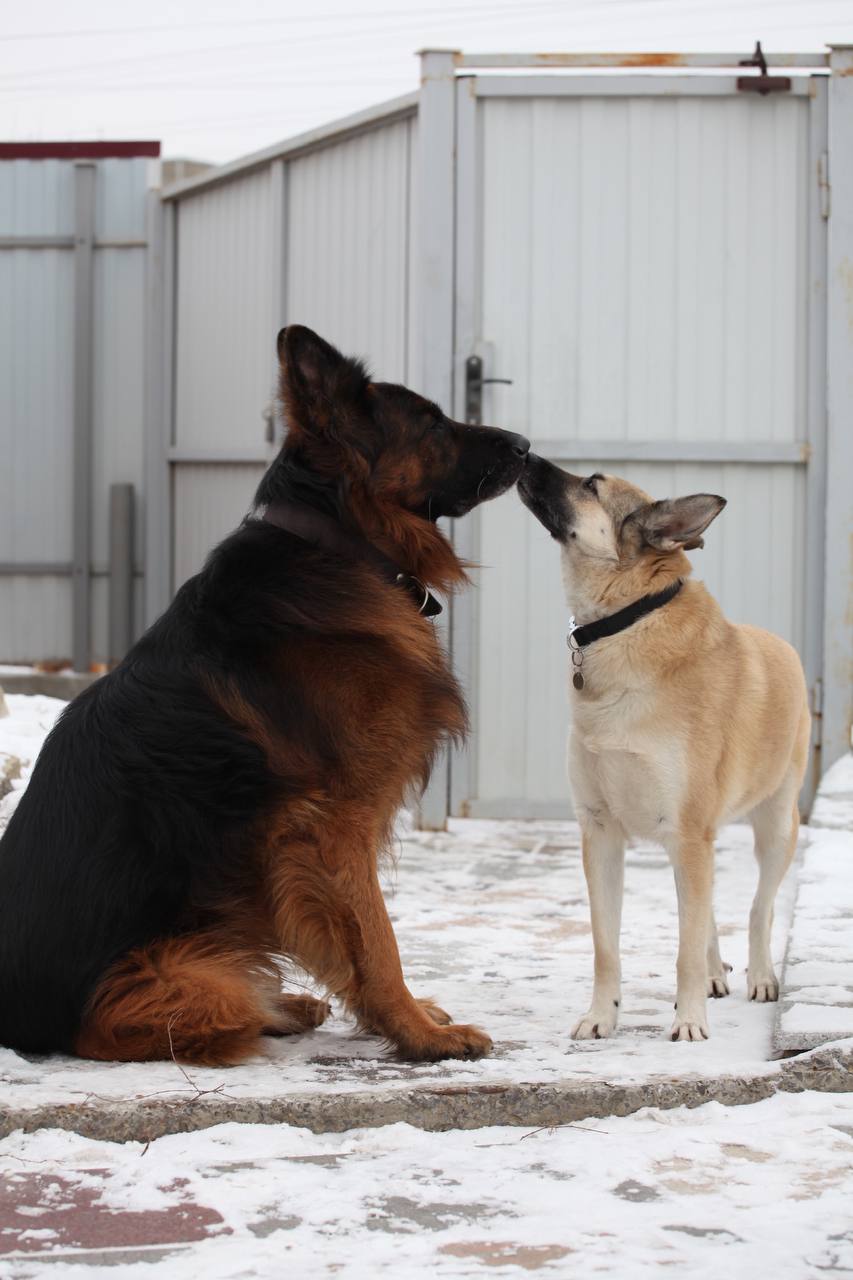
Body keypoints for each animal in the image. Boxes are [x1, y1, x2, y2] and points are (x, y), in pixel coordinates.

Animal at [0, 325, 527, 1064]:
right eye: (429, 421)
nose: (525, 446)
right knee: (153, 1022)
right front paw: (417, 1032)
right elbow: (377, 937)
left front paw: (401, 1018)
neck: (338, 543)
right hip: (176, 975)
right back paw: (268, 1010)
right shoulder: (336, 825)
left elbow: (358, 941)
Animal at [514, 458, 809, 1039]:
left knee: (758, 907)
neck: (627, 620)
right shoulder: (602, 832)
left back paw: (761, 975)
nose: (524, 453)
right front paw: (601, 1017)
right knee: (708, 910)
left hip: (775, 828)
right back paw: (717, 973)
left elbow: (685, 949)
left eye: (592, 485)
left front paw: (689, 1021)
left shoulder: (688, 832)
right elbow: (606, 946)